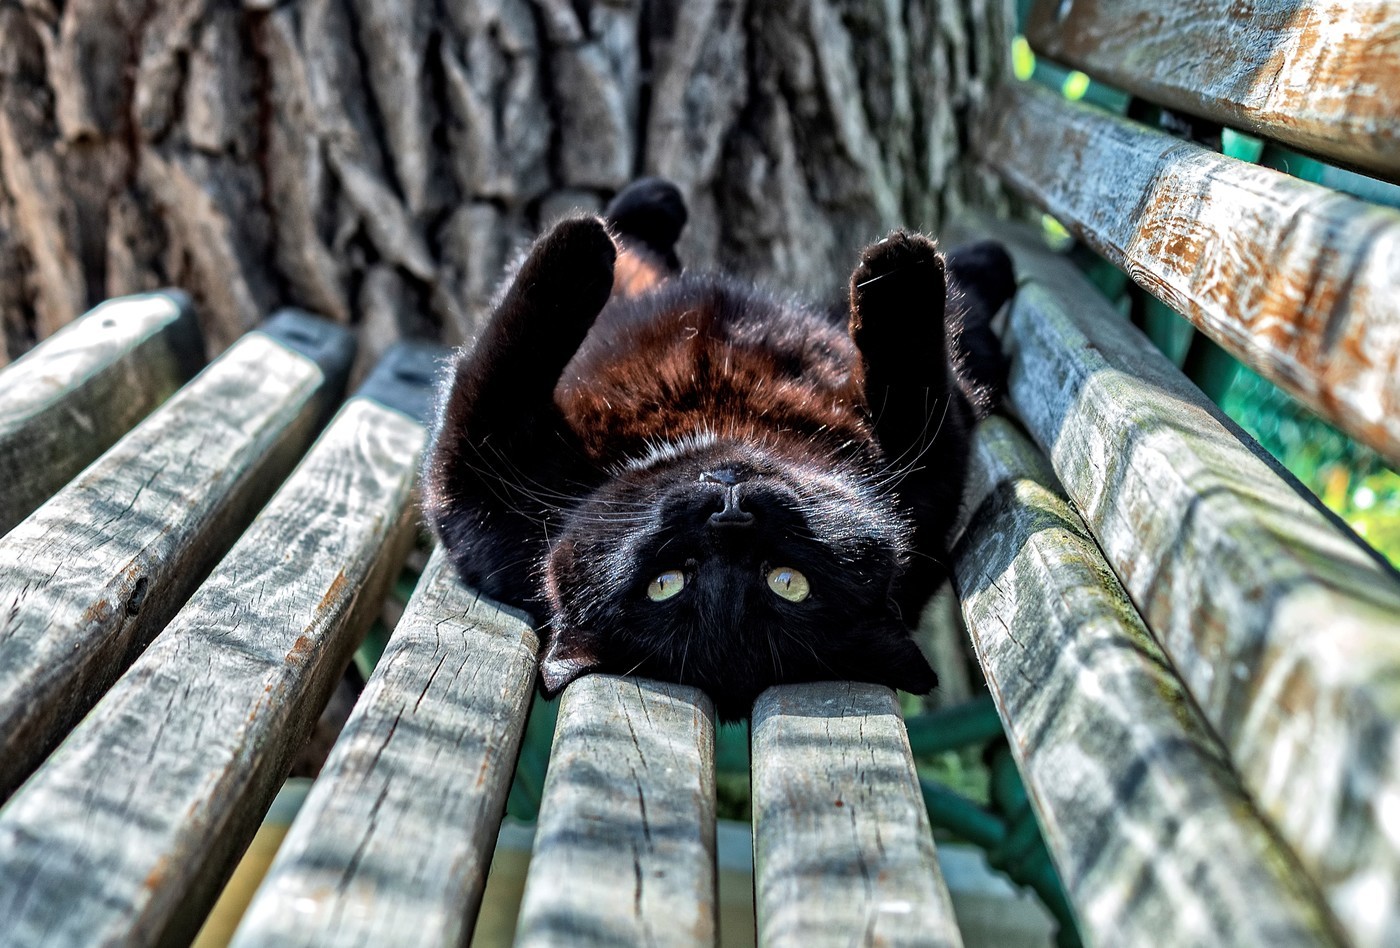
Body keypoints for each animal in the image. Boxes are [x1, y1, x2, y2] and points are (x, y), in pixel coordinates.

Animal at [420, 177, 1013, 716]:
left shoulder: (931, 488)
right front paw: (580, 245)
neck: (719, 417)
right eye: (665, 584)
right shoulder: (476, 500)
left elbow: (923, 389)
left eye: (788, 583)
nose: (729, 517)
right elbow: (496, 368)